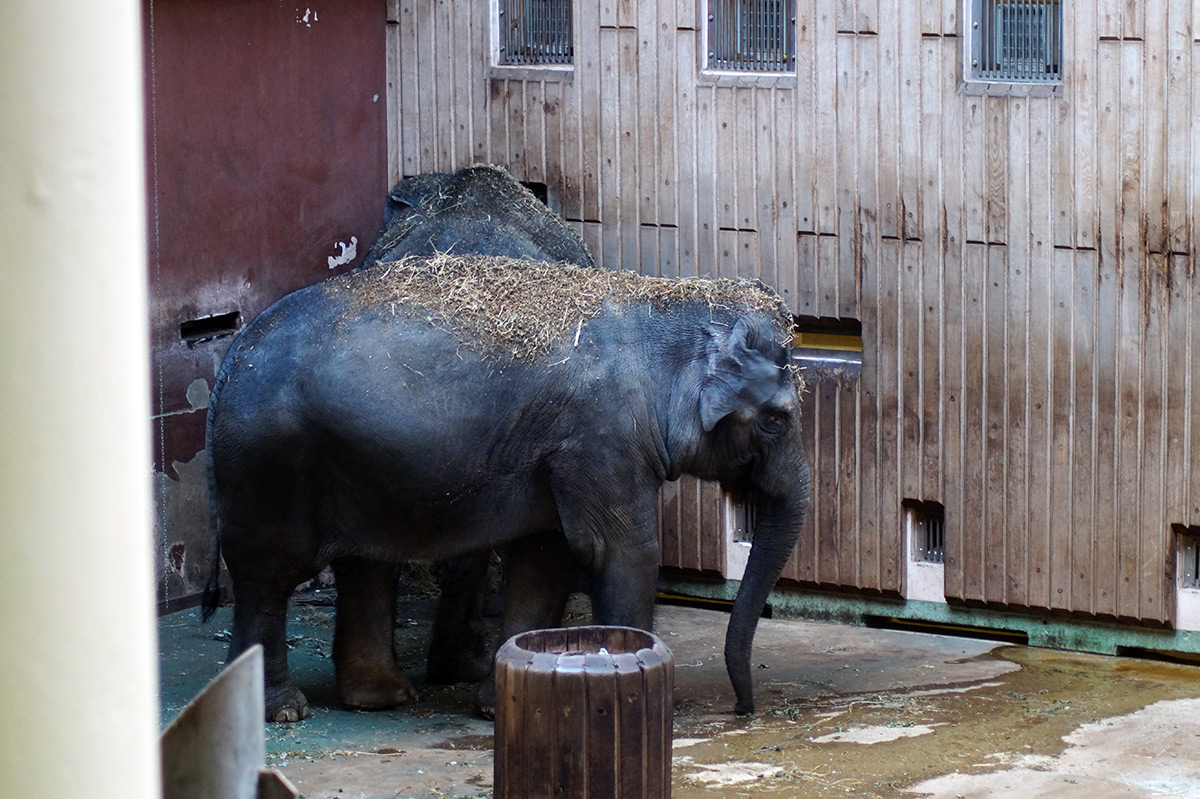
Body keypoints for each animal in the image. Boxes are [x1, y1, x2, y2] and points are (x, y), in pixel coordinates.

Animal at [201, 250, 811, 719]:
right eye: (778, 419)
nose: (742, 709)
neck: (669, 299)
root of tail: (233, 356)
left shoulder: (557, 454)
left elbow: (545, 557)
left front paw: (502, 701)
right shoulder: (601, 438)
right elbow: (620, 552)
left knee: (362, 563)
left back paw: (381, 698)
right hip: (267, 463)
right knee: (268, 574)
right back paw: (284, 710)